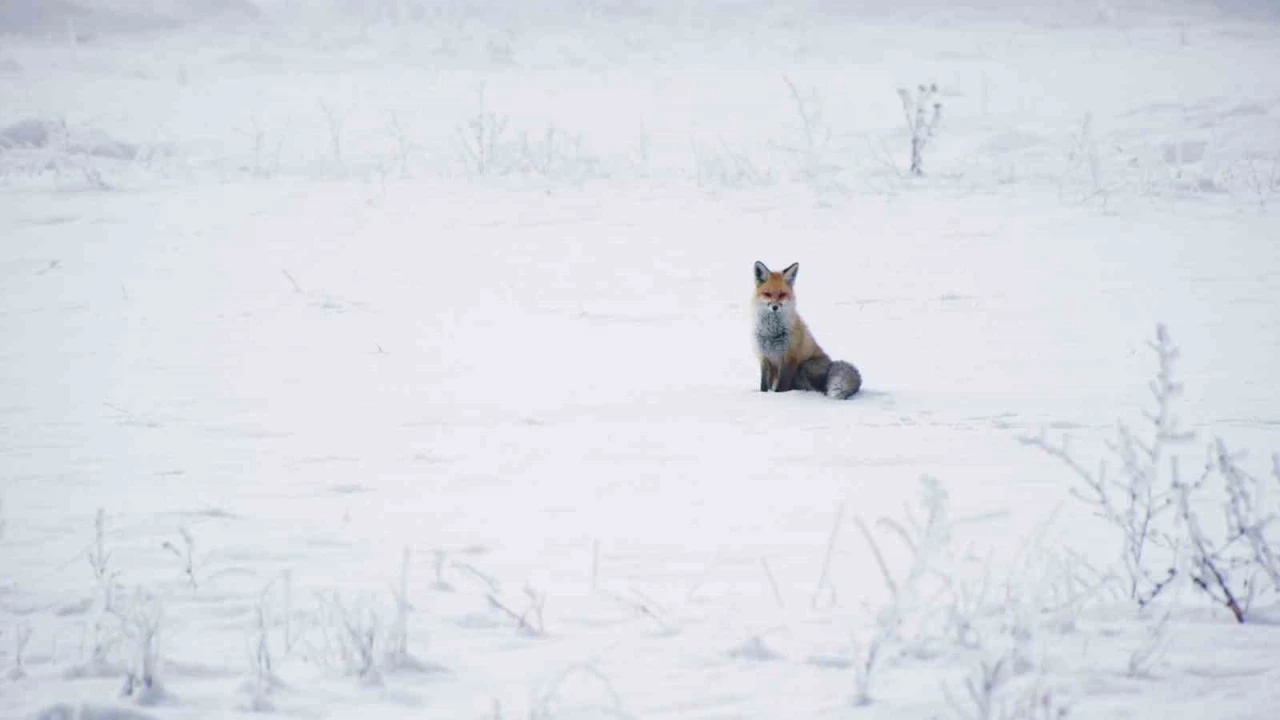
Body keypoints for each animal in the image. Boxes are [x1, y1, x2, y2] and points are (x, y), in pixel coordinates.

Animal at [747, 260, 860, 397]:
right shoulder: (764, 357)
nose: (775, 307)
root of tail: (831, 364)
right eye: (767, 294)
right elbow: (764, 385)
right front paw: (763, 395)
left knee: (819, 388)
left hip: (803, 367)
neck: (771, 332)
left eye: (782, 294)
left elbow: (781, 385)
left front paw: (779, 396)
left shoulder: (789, 358)